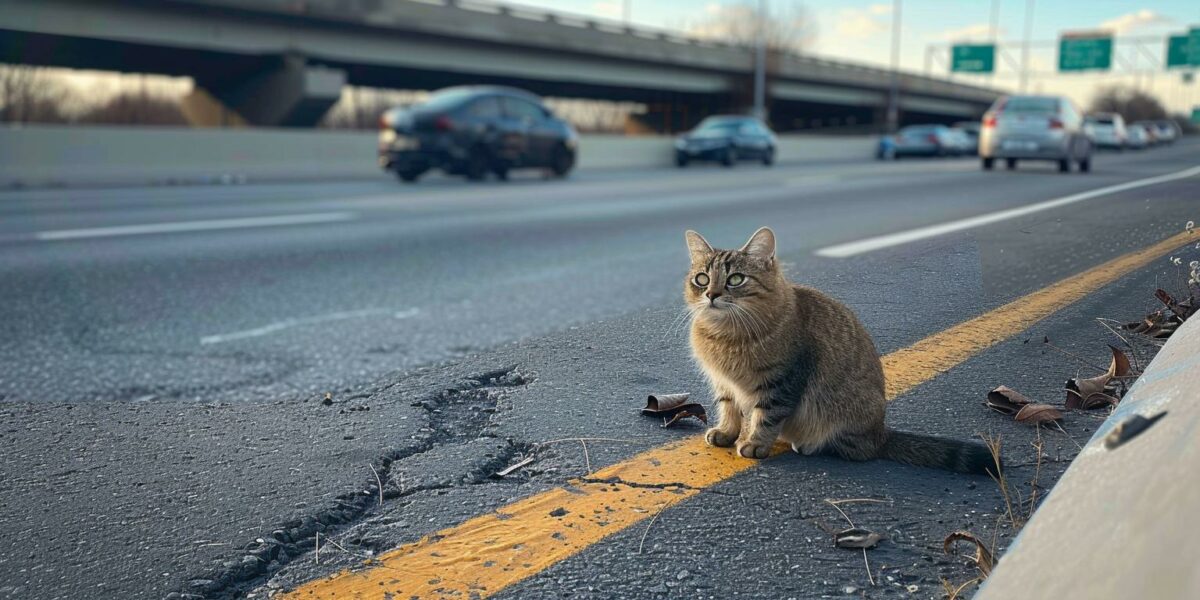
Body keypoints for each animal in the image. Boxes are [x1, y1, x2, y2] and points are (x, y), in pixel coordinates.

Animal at [686, 225, 993, 472]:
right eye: (702, 279)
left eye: (736, 279)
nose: (711, 294)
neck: (725, 334)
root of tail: (881, 432)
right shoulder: (724, 382)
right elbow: (729, 409)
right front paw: (727, 433)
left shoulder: (783, 381)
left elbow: (766, 416)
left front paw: (755, 443)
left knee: (858, 451)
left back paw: (810, 445)